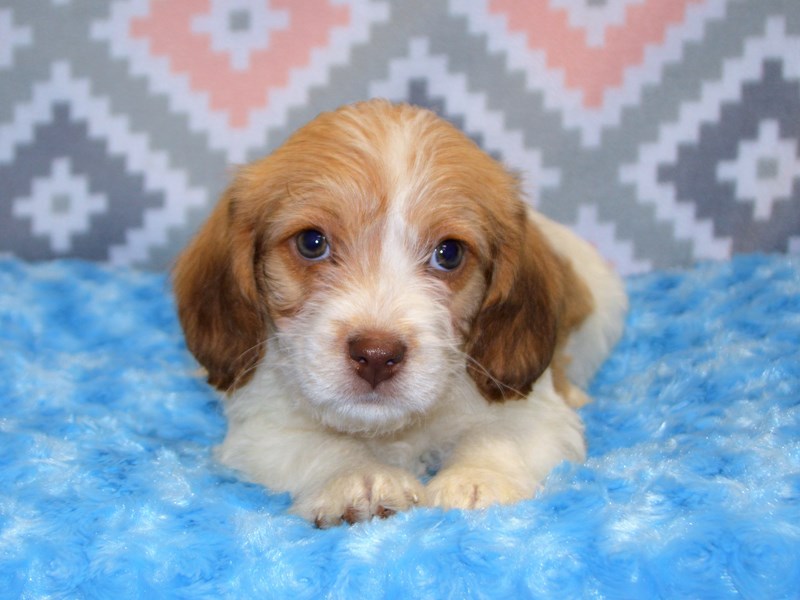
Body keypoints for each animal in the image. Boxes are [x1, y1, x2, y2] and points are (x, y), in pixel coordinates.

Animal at [173, 101, 624, 528]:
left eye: (449, 253)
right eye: (311, 242)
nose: (376, 355)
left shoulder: (535, 412)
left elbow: (500, 436)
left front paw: (477, 480)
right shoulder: (266, 427)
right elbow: (324, 445)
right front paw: (359, 478)